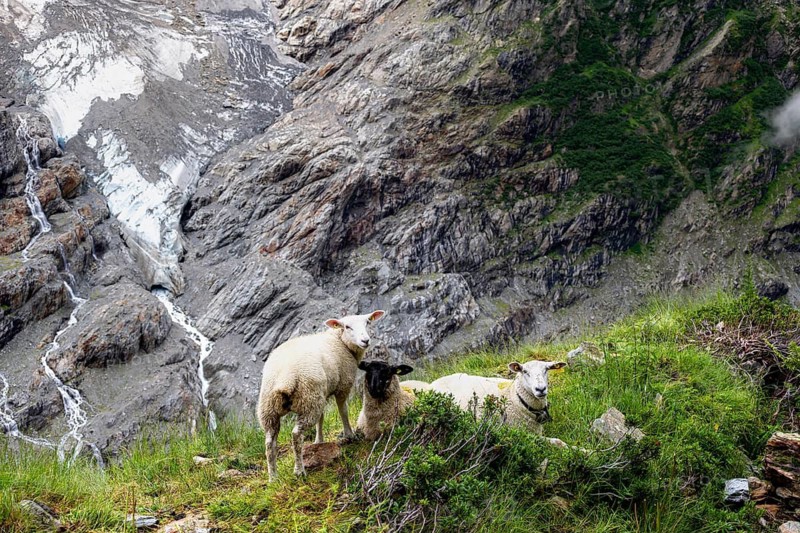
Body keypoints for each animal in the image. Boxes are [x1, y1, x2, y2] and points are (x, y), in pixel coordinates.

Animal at [257, 310, 385, 481]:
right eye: (347, 326)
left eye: (367, 323)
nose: (365, 340)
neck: (340, 341)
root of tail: (285, 378)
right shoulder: (343, 385)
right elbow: (343, 410)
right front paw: (349, 435)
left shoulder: (322, 394)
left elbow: (321, 418)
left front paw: (319, 441)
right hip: (308, 400)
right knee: (296, 435)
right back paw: (299, 470)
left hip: (271, 407)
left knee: (269, 443)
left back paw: (273, 478)